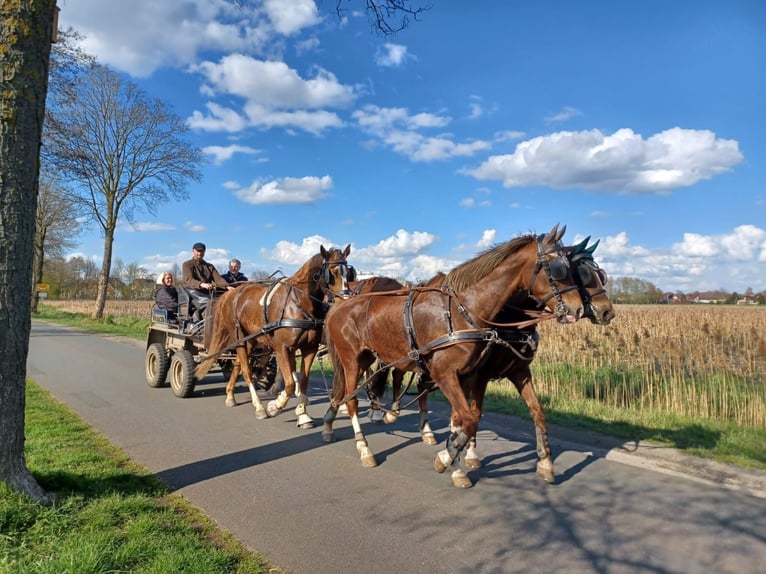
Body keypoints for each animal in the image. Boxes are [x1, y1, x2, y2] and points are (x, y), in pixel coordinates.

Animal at [196, 245, 356, 430]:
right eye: (331, 272)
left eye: (348, 273)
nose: (344, 302)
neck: (299, 302)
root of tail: (231, 293)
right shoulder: (281, 348)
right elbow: (290, 383)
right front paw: (275, 406)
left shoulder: (309, 348)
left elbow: (302, 381)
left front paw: (303, 415)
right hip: (240, 338)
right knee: (247, 371)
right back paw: (259, 407)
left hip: (249, 341)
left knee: (237, 364)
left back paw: (230, 396)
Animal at [320, 225, 584, 486]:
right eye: (558, 269)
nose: (579, 309)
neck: (464, 310)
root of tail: (340, 305)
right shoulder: (444, 374)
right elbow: (470, 419)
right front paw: (446, 457)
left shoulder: (468, 375)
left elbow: (461, 419)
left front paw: (456, 465)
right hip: (352, 360)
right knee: (351, 400)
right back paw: (364, 448)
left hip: (365, 358)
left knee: (345, 391)